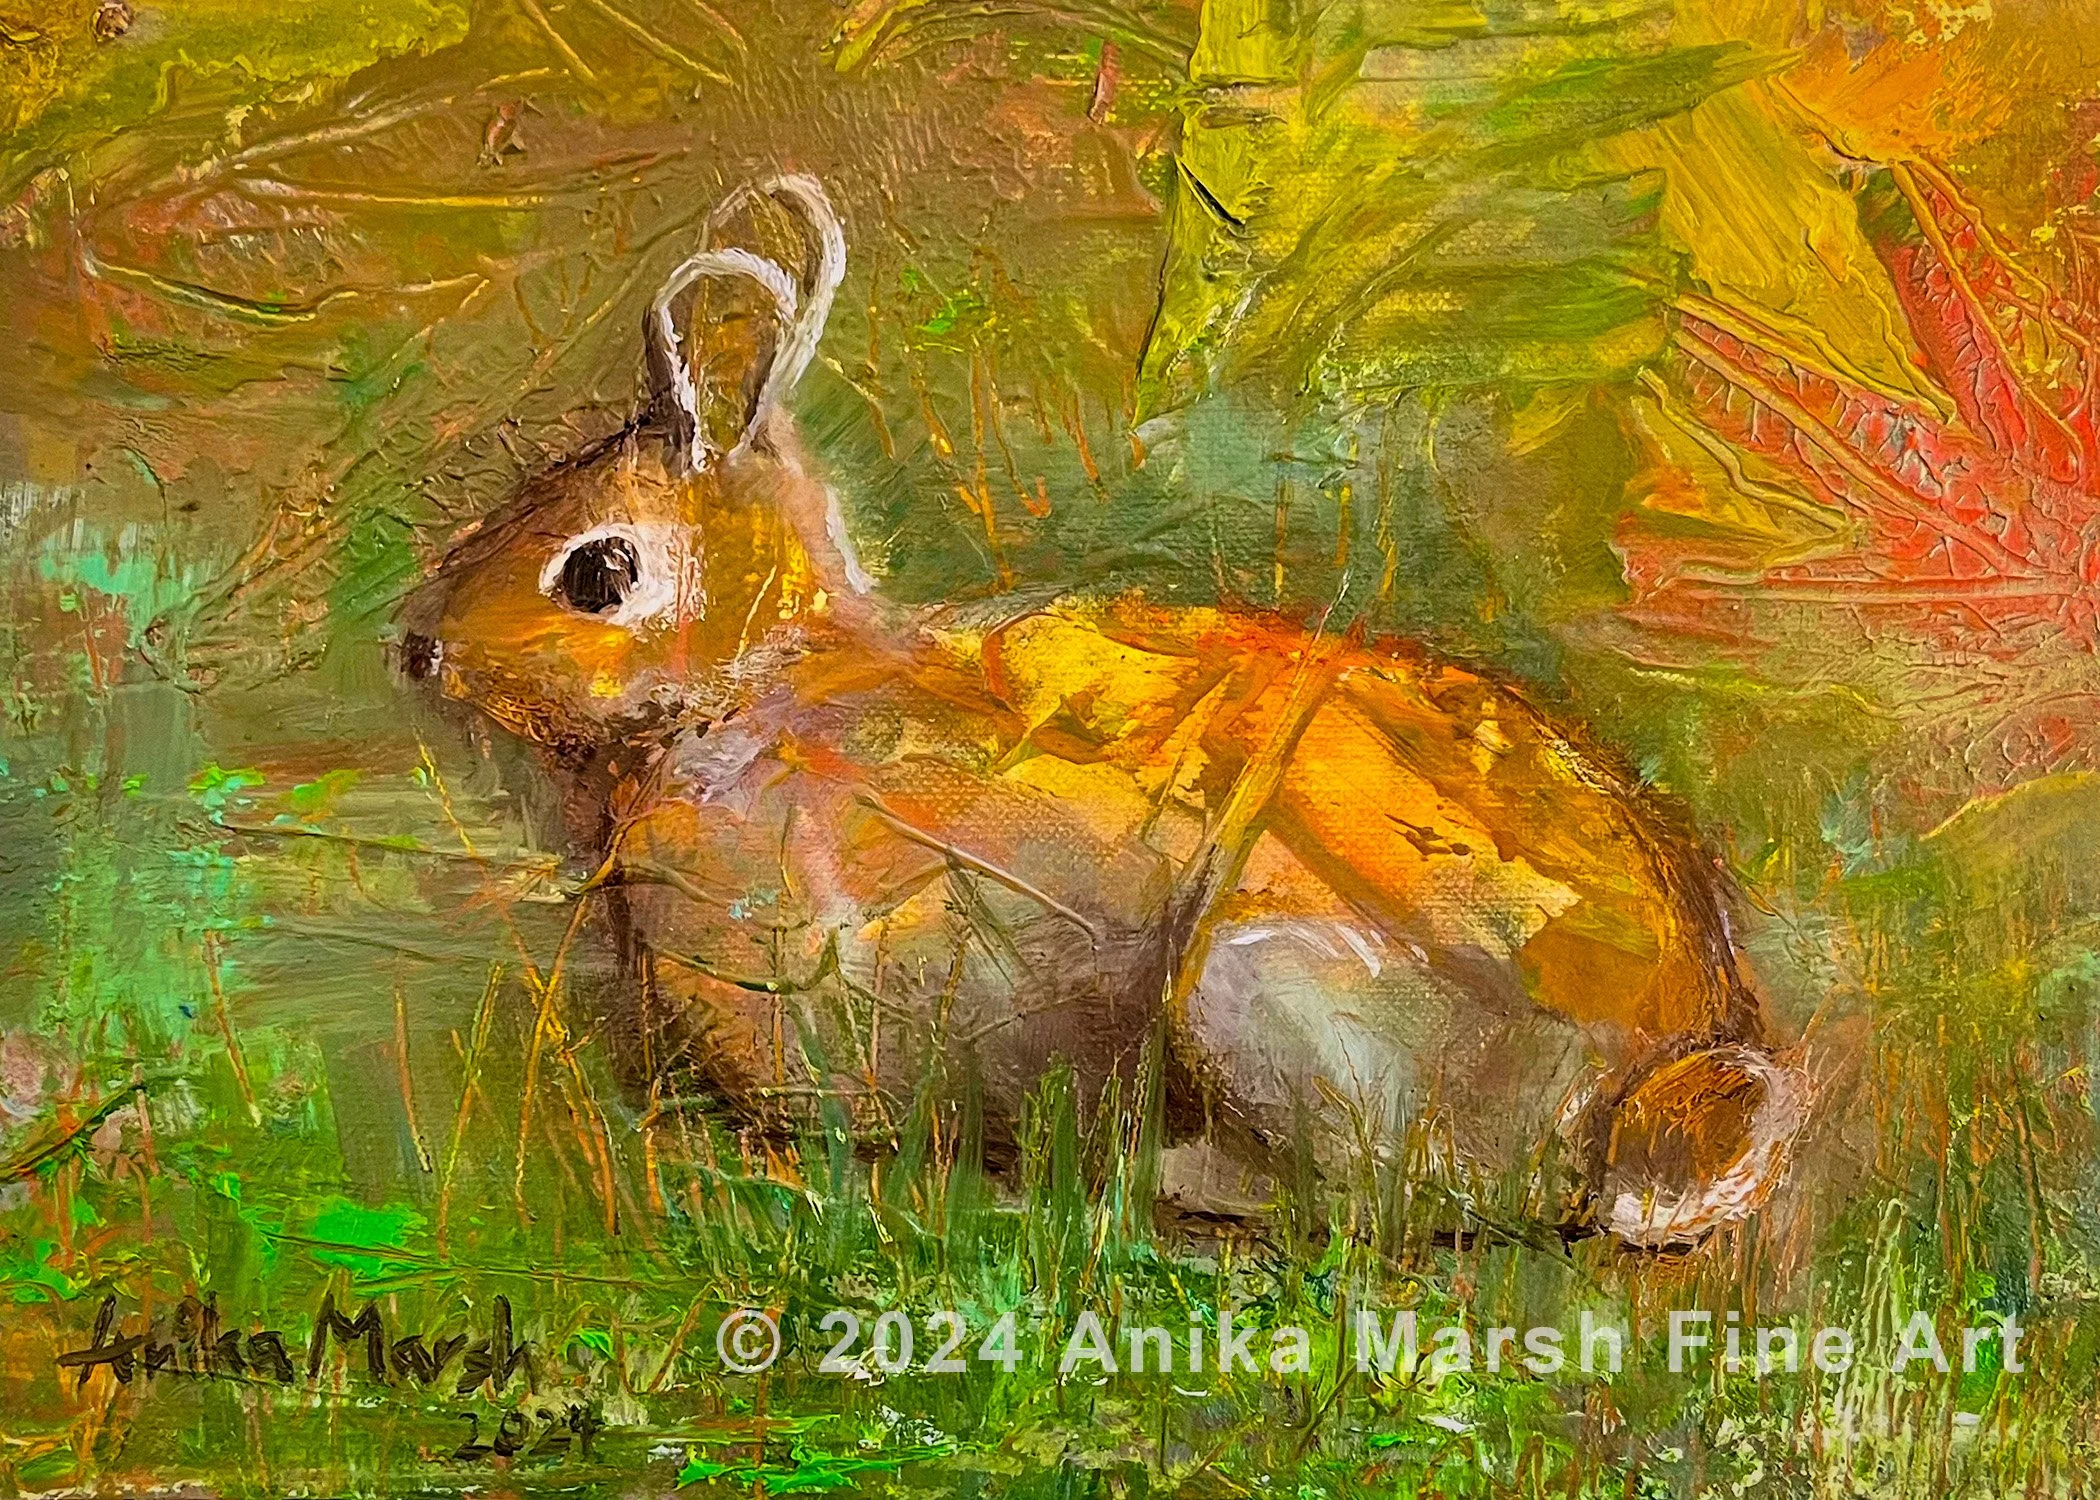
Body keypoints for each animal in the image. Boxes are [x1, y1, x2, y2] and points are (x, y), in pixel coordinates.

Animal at [397, 175, 1808, 1248]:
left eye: (599, 574)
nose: (417, 650)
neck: (760, 686)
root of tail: (1649, 1092)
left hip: (1261, 995)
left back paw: (1167, 1180)